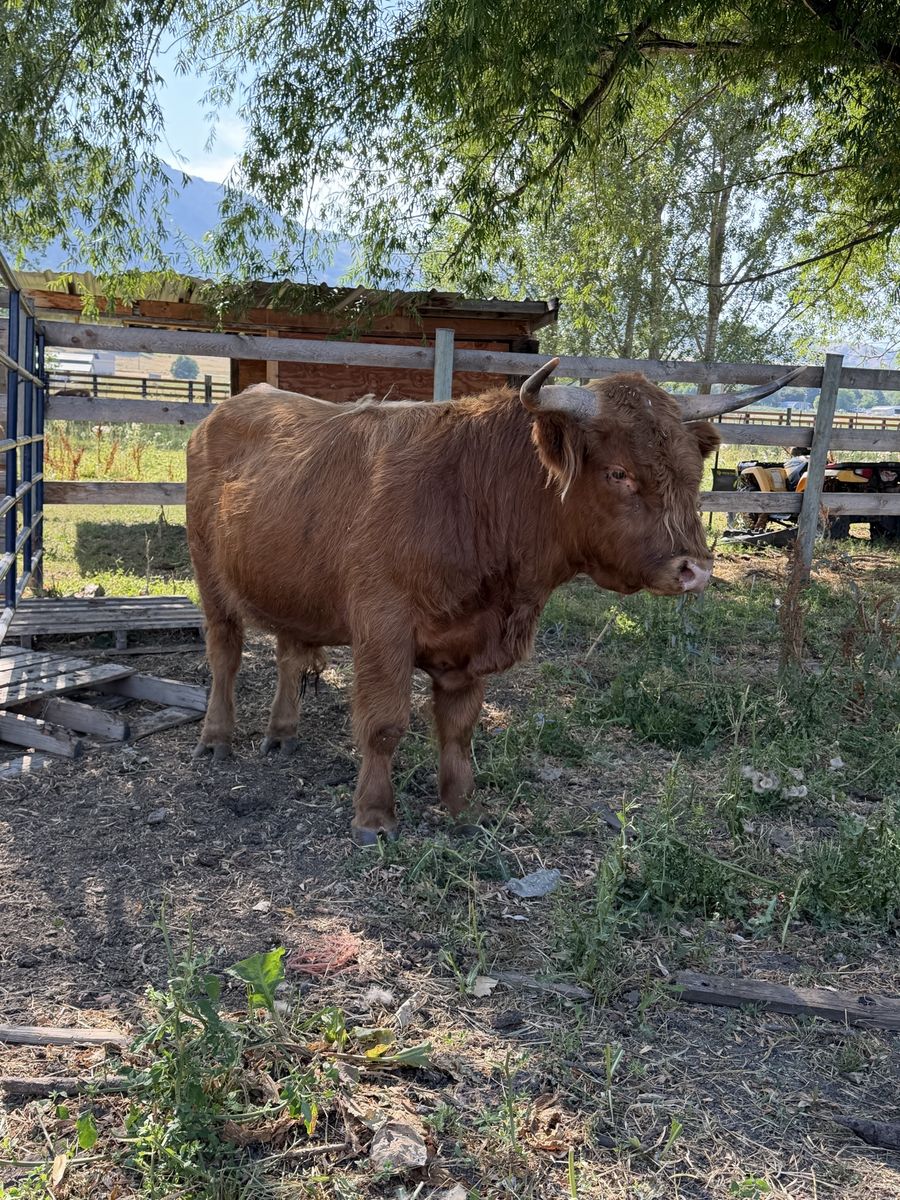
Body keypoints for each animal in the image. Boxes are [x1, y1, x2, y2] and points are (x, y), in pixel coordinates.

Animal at [186, 358, 798, 844]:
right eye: (618, 472)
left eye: (693, 475)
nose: (694, 570)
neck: (471, 494)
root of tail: (229, 408)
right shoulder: (382, 629)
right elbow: (384, 724)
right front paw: (374, 817)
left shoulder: (468, 644)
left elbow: (459, 728)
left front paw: (461, 807)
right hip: (211, 580)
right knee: (225, 654)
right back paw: (215, 739)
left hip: (290, 584)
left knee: (290, 652)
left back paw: (282, 733)